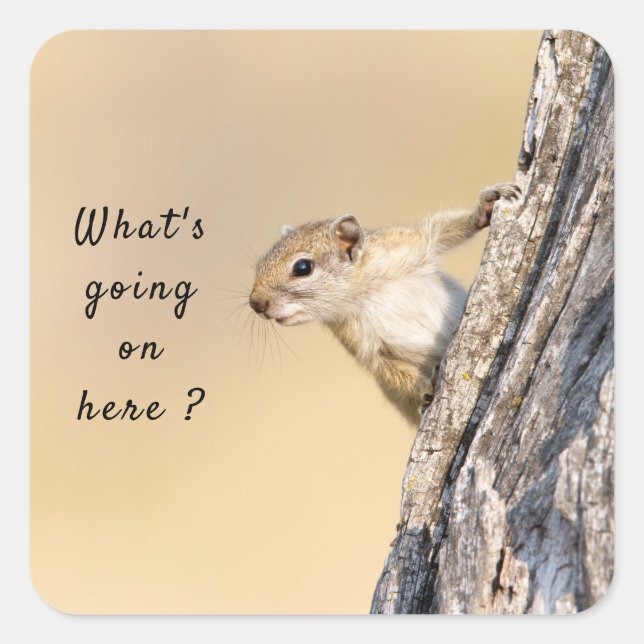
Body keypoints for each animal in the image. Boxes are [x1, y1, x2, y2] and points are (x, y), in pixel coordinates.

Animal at [248, 183, 520, 425]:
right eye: (260, 263)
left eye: (303, 267)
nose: (256, 303)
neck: (365, 292)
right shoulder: (364, 345)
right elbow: (391, 372)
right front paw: (425, 390)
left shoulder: (408, 245)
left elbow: (440, 231)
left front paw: (487, 205)